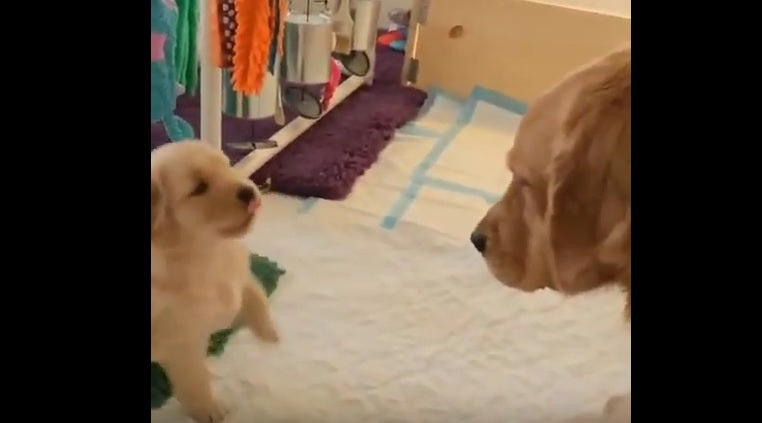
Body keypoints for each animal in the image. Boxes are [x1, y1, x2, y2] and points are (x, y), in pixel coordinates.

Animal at [150, 142, 278, 423]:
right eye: (199, 188)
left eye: (227, 165)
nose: (248, 190)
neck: (209, 252)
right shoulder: (183, 342)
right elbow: (195, 380)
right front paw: (208, 409)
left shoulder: (238, 267)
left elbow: (255, 293)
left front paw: (269, 332)